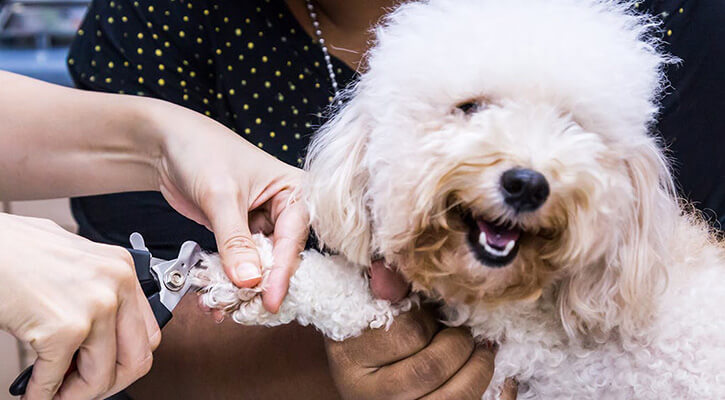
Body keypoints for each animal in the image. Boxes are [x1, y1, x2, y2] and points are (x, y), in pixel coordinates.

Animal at [191, 1, 724, 398]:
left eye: (571, 126)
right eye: (471, 108)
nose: (527, 184)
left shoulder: (520, 361)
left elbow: (370, 304)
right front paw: (255, 276)